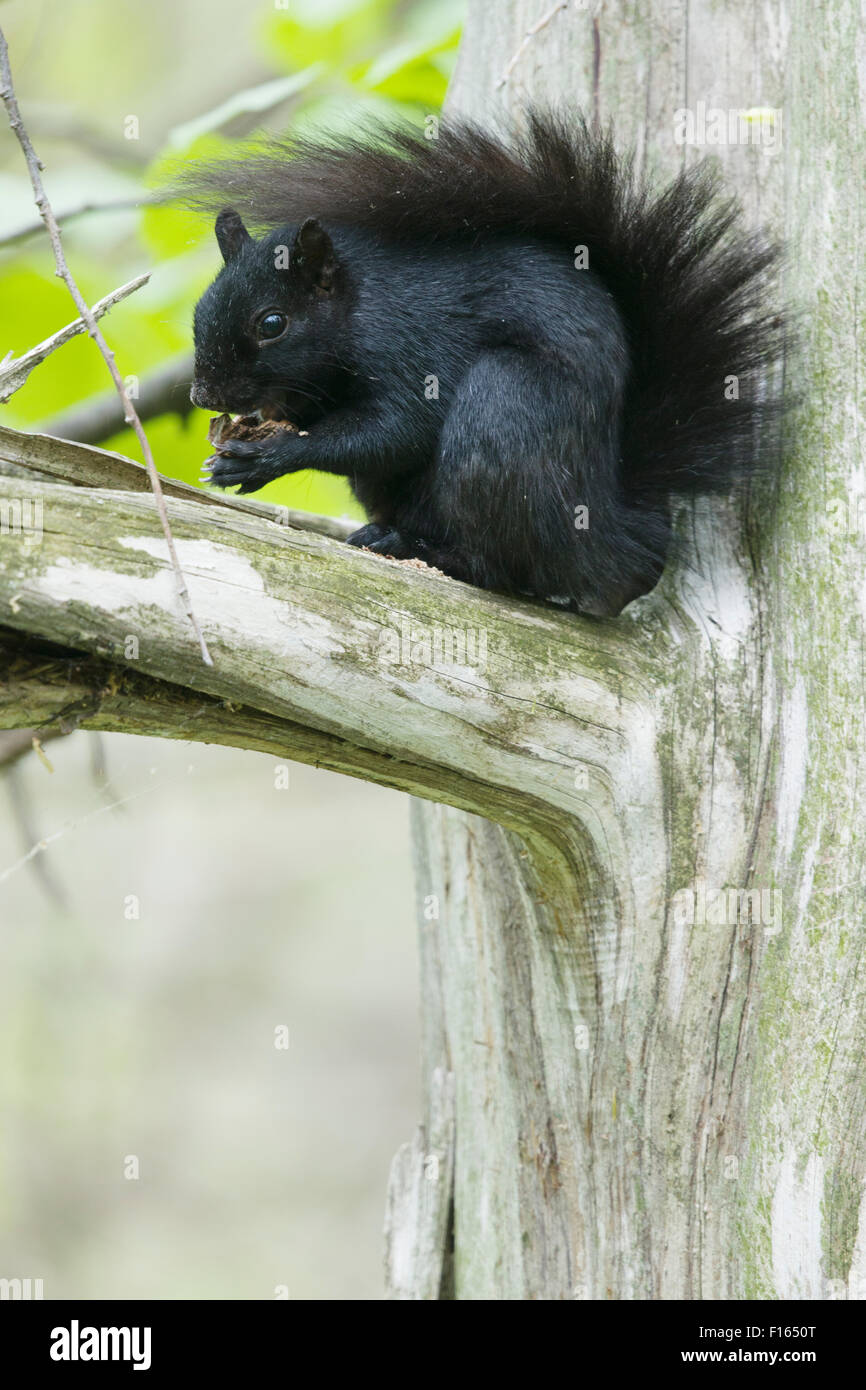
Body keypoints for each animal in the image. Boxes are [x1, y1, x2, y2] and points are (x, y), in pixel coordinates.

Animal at [183, 116, 783, 617]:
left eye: (272, 323)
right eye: (200, 308)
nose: (203, 394)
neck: (358, 304)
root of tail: (618, 545)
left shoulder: (415, 346)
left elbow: (400, 430)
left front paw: (265, 458)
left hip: (506, 405)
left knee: (500, 569)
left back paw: (420, 550)